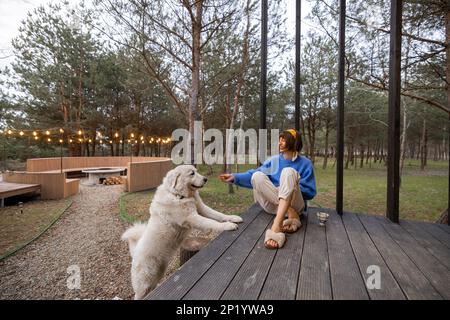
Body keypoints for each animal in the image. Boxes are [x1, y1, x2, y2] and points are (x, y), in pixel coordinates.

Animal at [120, 165, 243, 300]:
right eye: (192, 173)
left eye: (196, 171)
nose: (206, 179)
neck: (178, 195)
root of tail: (135, 252)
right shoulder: (193, 218)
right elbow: (212, 222)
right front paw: (228, 225)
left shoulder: (202, 209)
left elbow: (218, 215)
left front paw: (233, 218)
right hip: (144, 283)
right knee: (139, 295)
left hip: (157, 275)